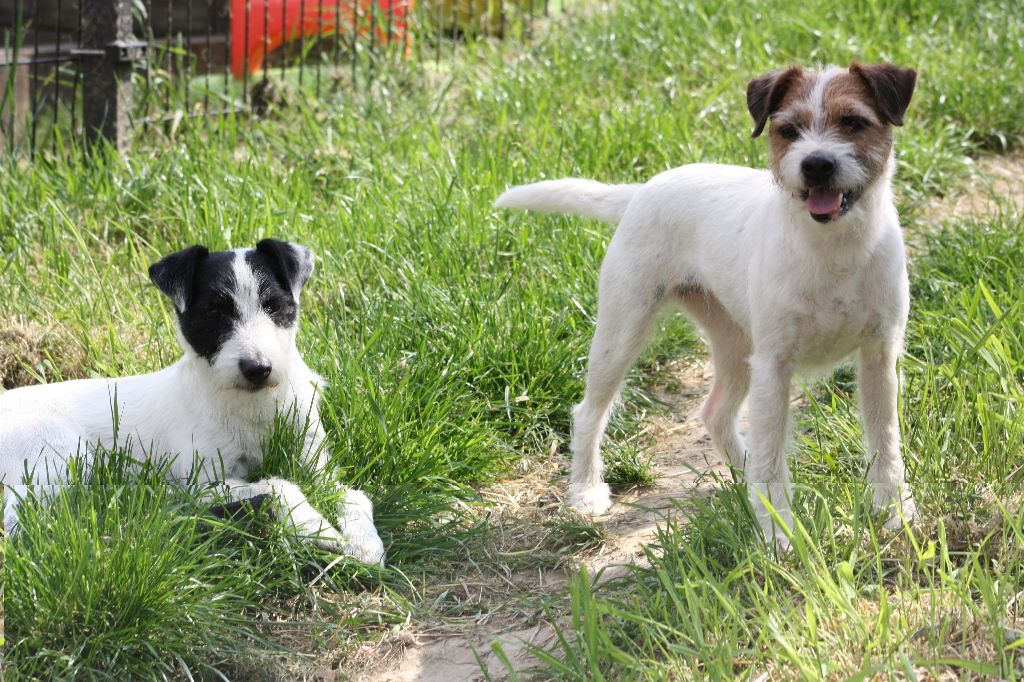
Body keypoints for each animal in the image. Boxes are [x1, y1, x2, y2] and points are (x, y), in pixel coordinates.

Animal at [0, 237, 385, 561]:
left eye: (275, 306)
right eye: (213, 312)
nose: (258, 368)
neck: (251, 406)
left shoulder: (317, 465)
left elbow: (352, 495)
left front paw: (363, 541)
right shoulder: (204, 481)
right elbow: (279, 485)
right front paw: (318, 529)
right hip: (59, 453)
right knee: (22, 523)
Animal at [495, 63, 921, 548]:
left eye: (852, 122)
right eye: (788, 131)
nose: (816, 164)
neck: (833, 249)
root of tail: (640, 191)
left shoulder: (879, 358)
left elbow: (885, 444)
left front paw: (895, 513)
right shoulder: (774, 365)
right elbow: (772, 461)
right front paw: (778, 535)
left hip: (735, 345)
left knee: (716, 413)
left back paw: (741, 478)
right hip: (622, 333)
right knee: (589, 413)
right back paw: (586, 492)